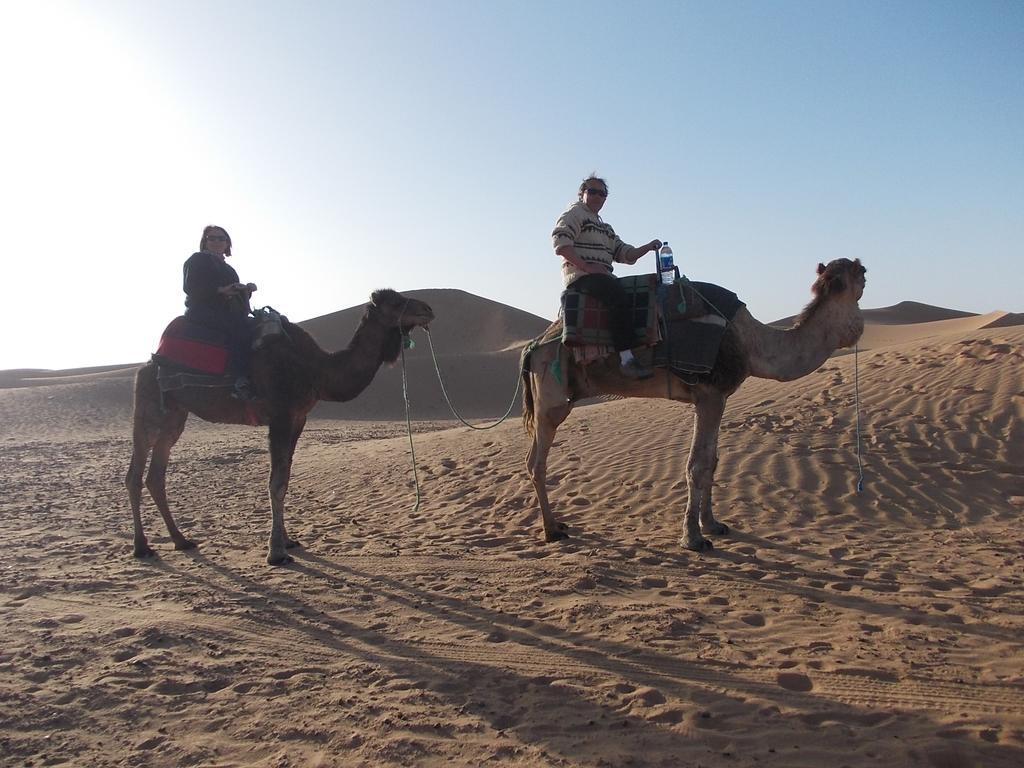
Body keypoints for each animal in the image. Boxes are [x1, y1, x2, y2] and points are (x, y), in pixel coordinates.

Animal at [126, 288, 432, 565]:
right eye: (396, 302)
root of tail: (147, 364)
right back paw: (142, 547)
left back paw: (180, 540)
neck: (316, 369)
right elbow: (275, 483)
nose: (428, 309)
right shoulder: (281, 417)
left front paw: (287, 540)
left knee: (155, 476)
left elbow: (285, 477)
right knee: (135, 474)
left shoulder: (298, 419)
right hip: (148, 407)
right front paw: (276, 552)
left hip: (175, 415)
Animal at [520, 259, 864, 552]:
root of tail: (533, 345)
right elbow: (697, 464)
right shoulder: (709, 393)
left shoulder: (718, 396)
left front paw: (713, 524)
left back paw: (557, 524)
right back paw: (552, 530)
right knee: (537, 460)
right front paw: (694, 539)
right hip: (551, 394)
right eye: (863, 278)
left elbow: (712, 461)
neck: (750, 344)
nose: (858, 328)